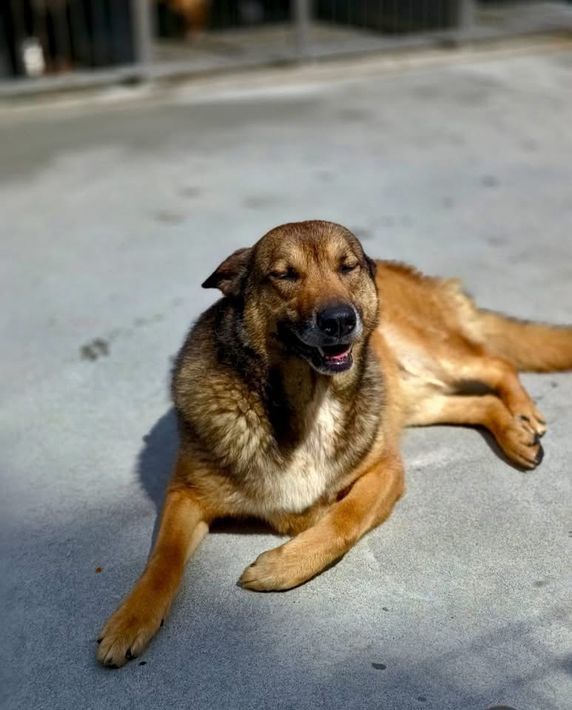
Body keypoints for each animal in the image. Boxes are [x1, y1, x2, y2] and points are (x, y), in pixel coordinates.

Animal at [97, 220, 572, 667]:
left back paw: (523, 414)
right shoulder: (186, 495)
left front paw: (282, 566)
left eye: (347, 267)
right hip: (414, 396)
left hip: (430, 354)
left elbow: (345, 519)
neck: (309, 402)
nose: (340, 320)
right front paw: (131, 619)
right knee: (478, 401)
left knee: (497, 363)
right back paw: (514, 432)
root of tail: (404, 269)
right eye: (284, 274)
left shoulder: (386, 470)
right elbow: (163, 560)